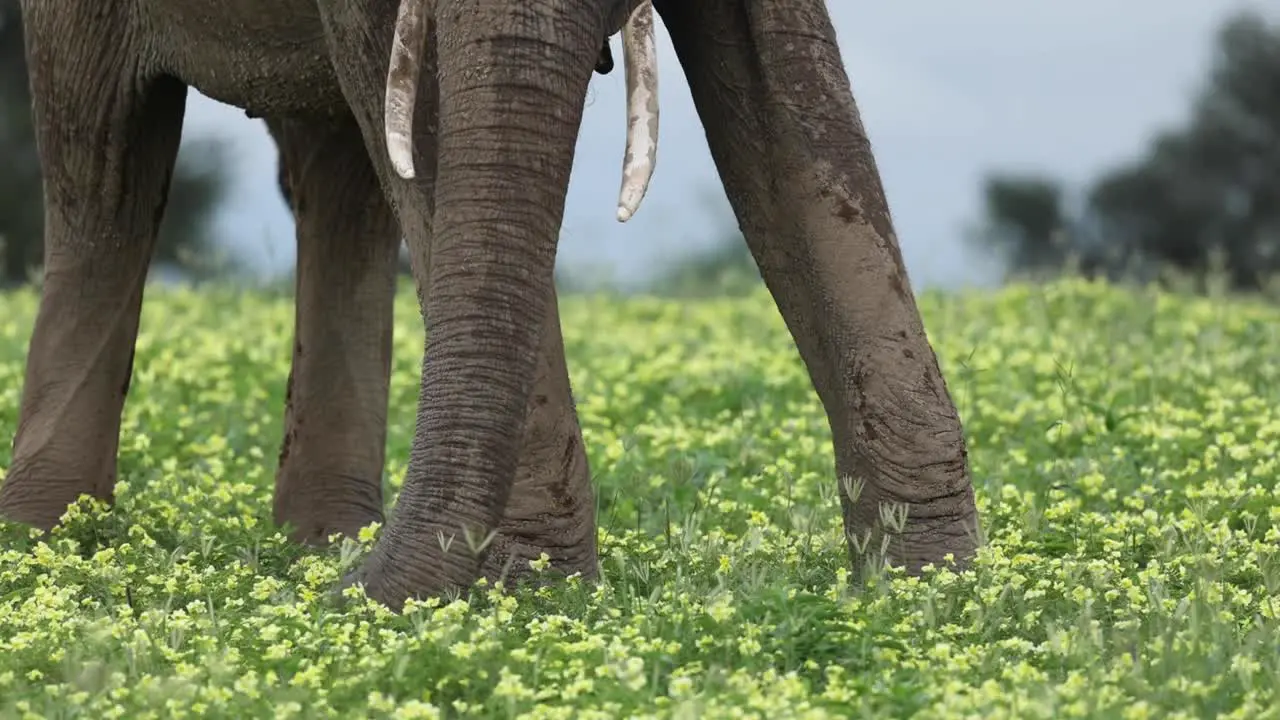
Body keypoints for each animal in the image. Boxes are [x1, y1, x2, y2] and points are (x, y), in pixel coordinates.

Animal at [0, 0, 977, 607]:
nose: (336, 609)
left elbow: (793, 105)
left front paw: (924, 592)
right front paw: (532, 598)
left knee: (338, 170)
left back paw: (326, 545)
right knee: (103, 164)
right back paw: (49, 544)